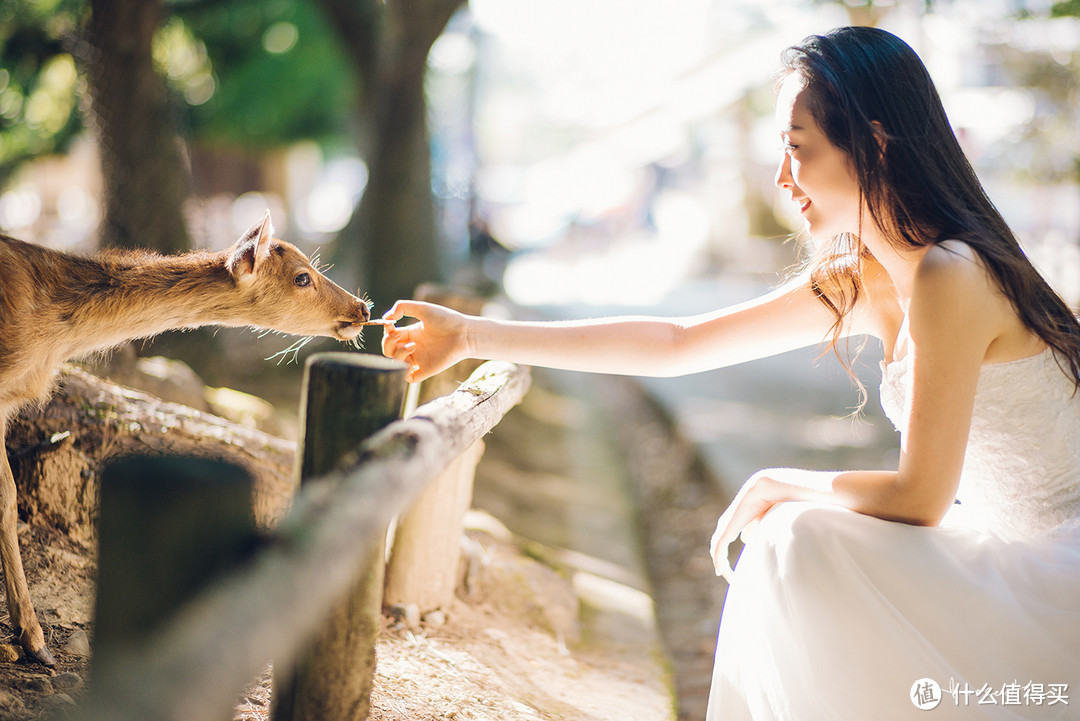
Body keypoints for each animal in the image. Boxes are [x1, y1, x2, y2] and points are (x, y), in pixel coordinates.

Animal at [0, 209, 378, 664]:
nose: (362, 307)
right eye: (302, 277)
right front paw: (33, 639)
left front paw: (32, 640)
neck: (45, 338)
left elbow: (8, 495)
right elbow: (6, 496)